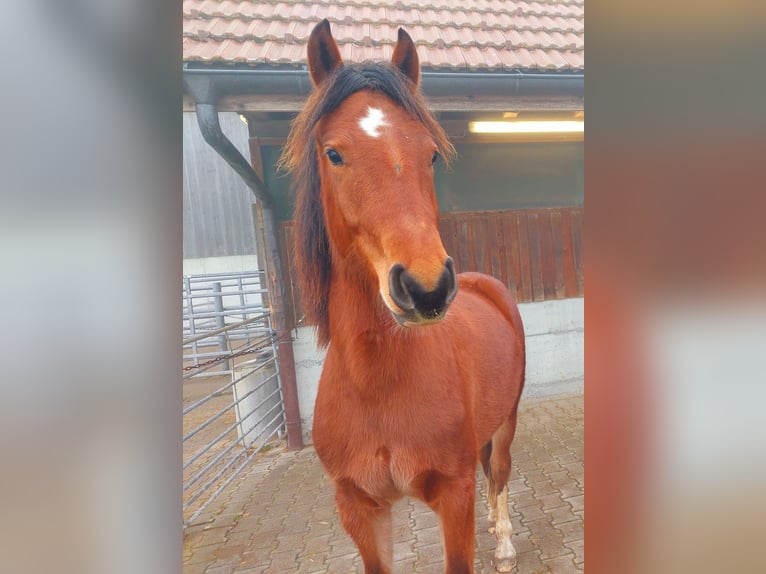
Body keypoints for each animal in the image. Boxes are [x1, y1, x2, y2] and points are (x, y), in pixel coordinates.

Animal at [280, 19, 526, 574]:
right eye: (333, 153)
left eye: (430, 153)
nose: (426, 286)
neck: (377, 386)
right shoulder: (360, 510)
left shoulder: (453, 496)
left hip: (507, 421)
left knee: (499, 474)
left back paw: (504, 544)